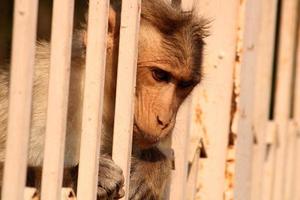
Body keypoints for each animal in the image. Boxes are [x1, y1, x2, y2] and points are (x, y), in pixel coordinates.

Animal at [0, 0, 207, 198]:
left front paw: (152, 166)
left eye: (185, 85)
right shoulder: (43, 93)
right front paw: (86, 174)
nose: (164, 120)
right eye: (159, 75)